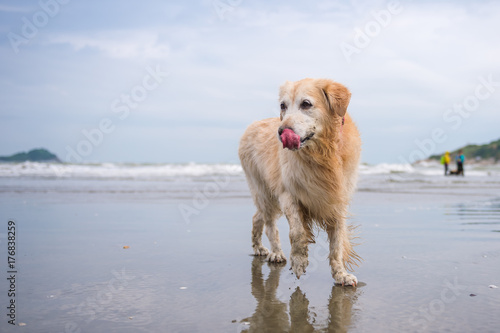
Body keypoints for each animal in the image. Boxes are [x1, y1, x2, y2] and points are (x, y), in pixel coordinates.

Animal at [239, 78, 362, 286]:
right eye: (283, 106)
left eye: (306, 104)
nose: (281, 132)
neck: (321, 154)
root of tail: (252, 125)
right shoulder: (287, 194)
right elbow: (297, 232)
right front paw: (299, 261)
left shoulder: (338, 199)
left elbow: (337, 243)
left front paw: (341, 274)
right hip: (262, 190)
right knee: (269, 224)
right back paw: (275, 253)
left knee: (258, 216)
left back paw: (260, 248)